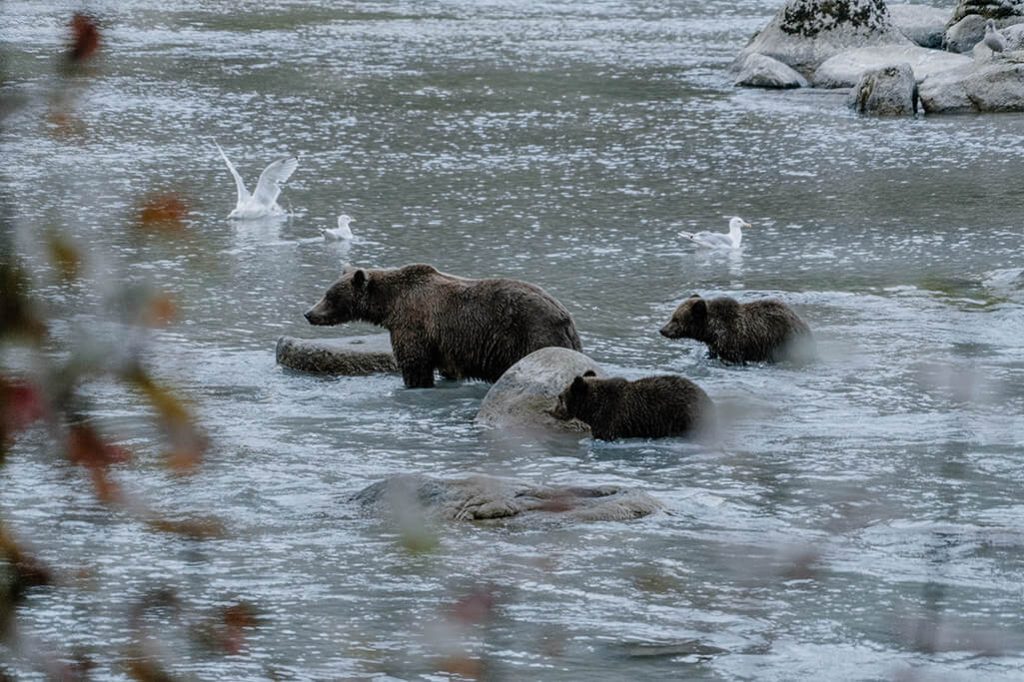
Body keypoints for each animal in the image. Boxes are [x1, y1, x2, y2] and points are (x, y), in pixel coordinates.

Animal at [301, 262, 585, 385]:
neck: (391, 304)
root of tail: (565, 317)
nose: (308, 313)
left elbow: (415, 365)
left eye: (329, 296)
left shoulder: (413, 325)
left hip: (532, 334)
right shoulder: (449, 343)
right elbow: (449, 367)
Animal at [659, 294, 811, 364]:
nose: (662, 330)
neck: (711, 331)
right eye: (672, 316)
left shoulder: (732, 343)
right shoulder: (715, 345)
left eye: (676, 319)